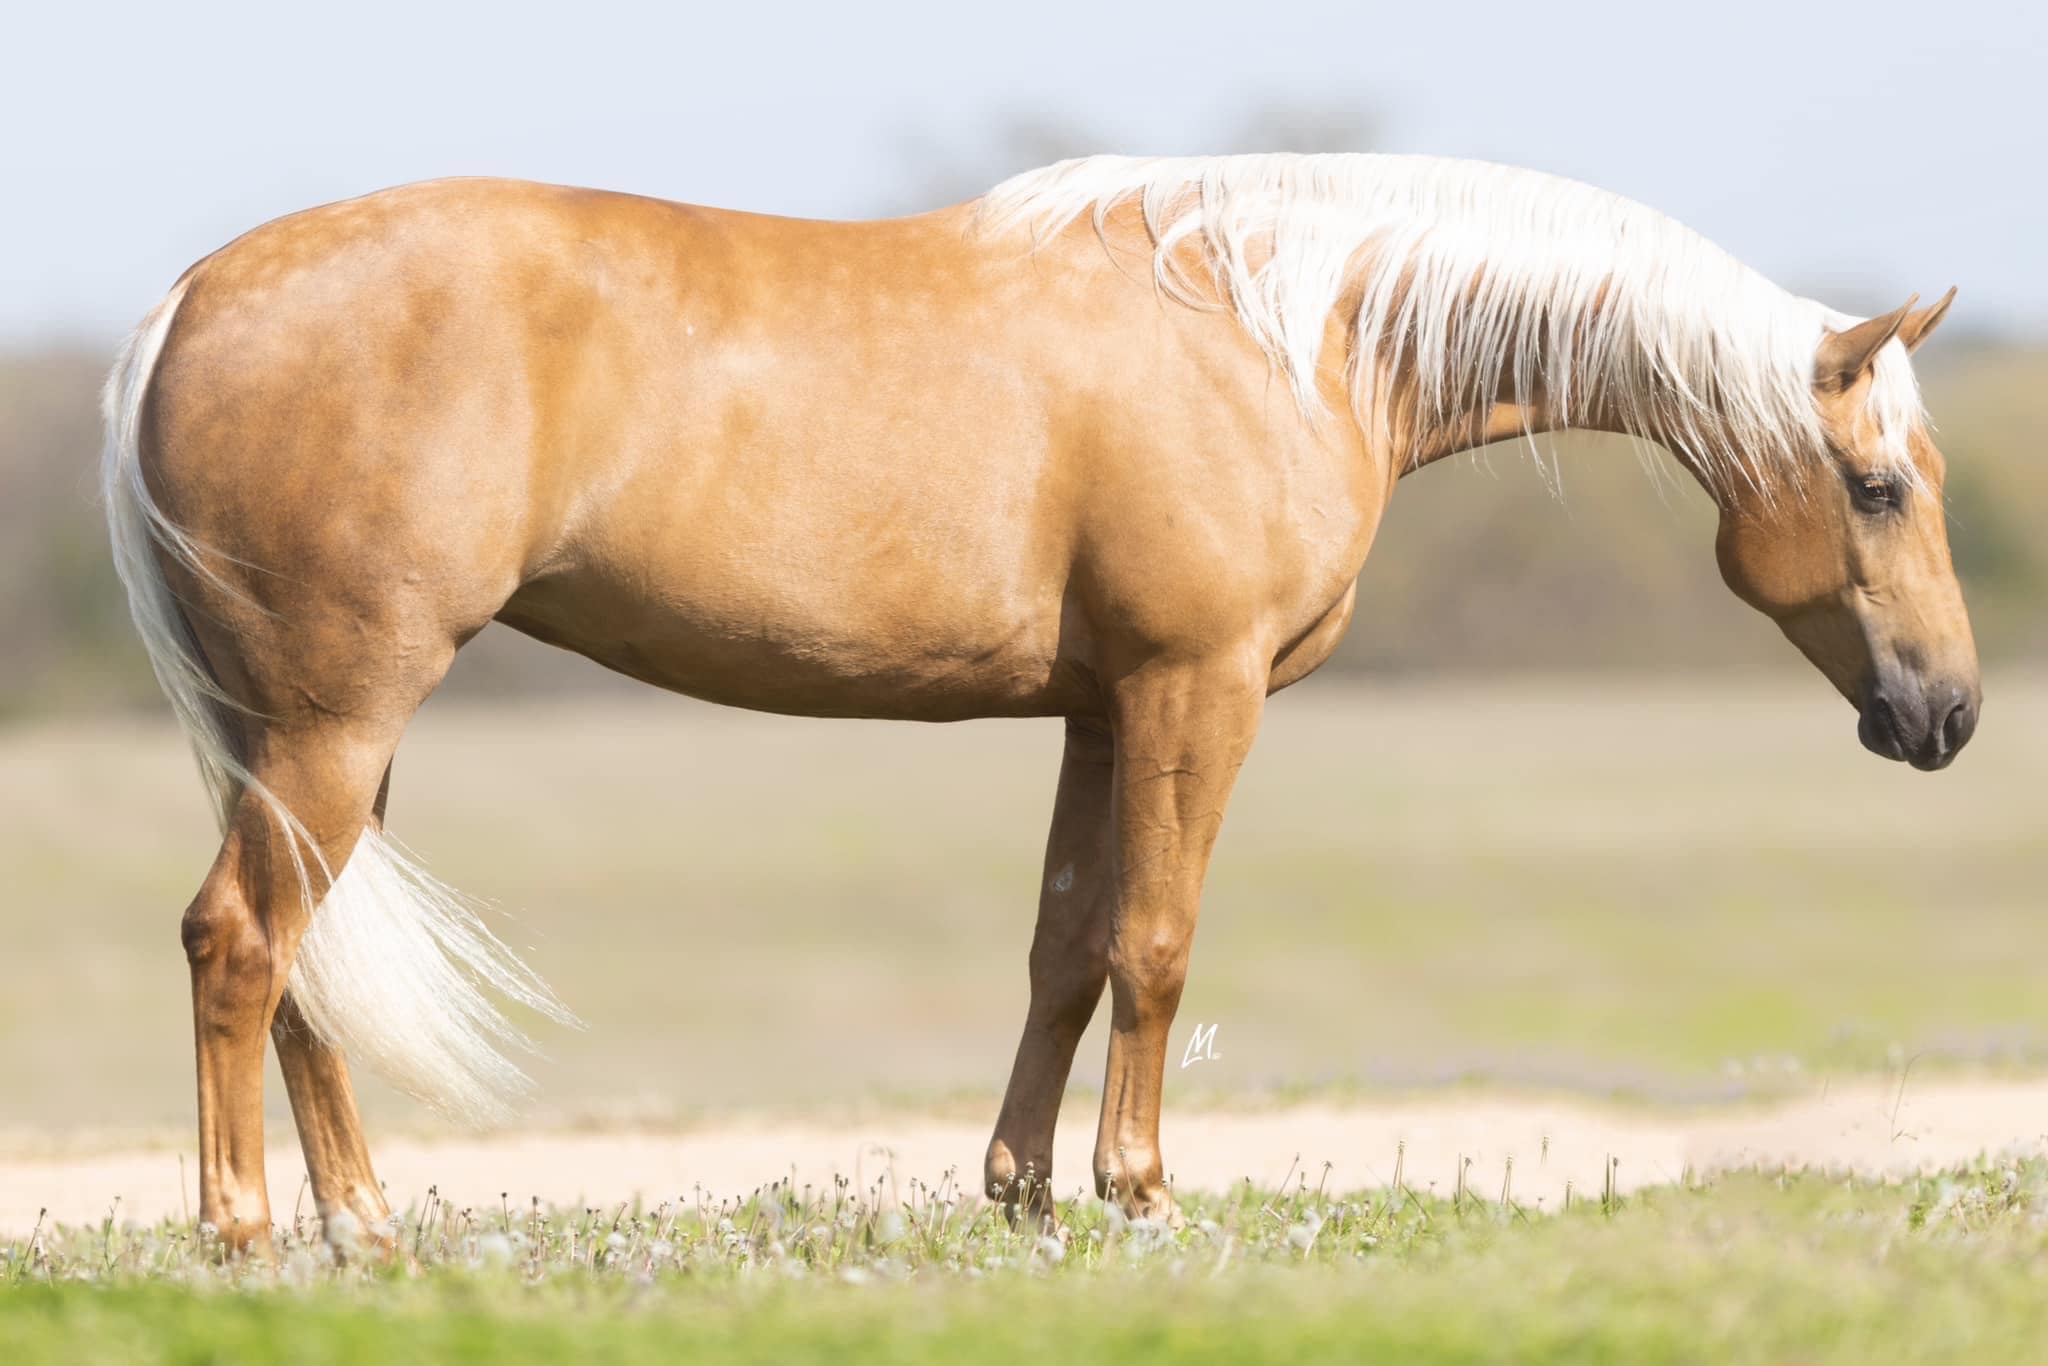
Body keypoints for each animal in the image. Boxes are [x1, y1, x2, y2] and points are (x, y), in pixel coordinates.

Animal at [101, 153, 1978, 1252]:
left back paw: (366, 1229)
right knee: (238, 943)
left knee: (304, 968)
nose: (1947, 716)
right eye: (1878, 485)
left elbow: (1067, 944)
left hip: (309, 739)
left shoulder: (1098, 707)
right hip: (337, 724)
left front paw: (1020, 1196)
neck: (1286, 330)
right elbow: (1155, 942)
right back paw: (244, 1236)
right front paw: (1138, 1193)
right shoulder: (1195, 689)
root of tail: (186, 296)